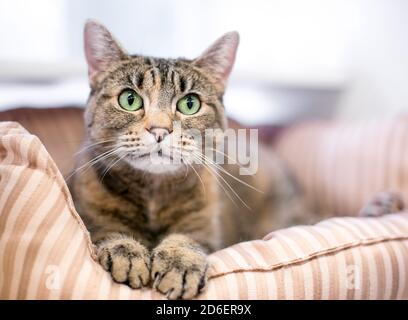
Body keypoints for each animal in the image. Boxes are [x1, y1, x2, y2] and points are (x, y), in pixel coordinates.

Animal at [69, 20, 328, 300]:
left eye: (189, 104)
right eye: (130, 99)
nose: (160, 130)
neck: (153, 193)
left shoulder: (203, 228)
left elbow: (186, 241)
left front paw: (179, 262)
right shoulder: (91, 216)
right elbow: (108, 230)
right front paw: (126, 250)